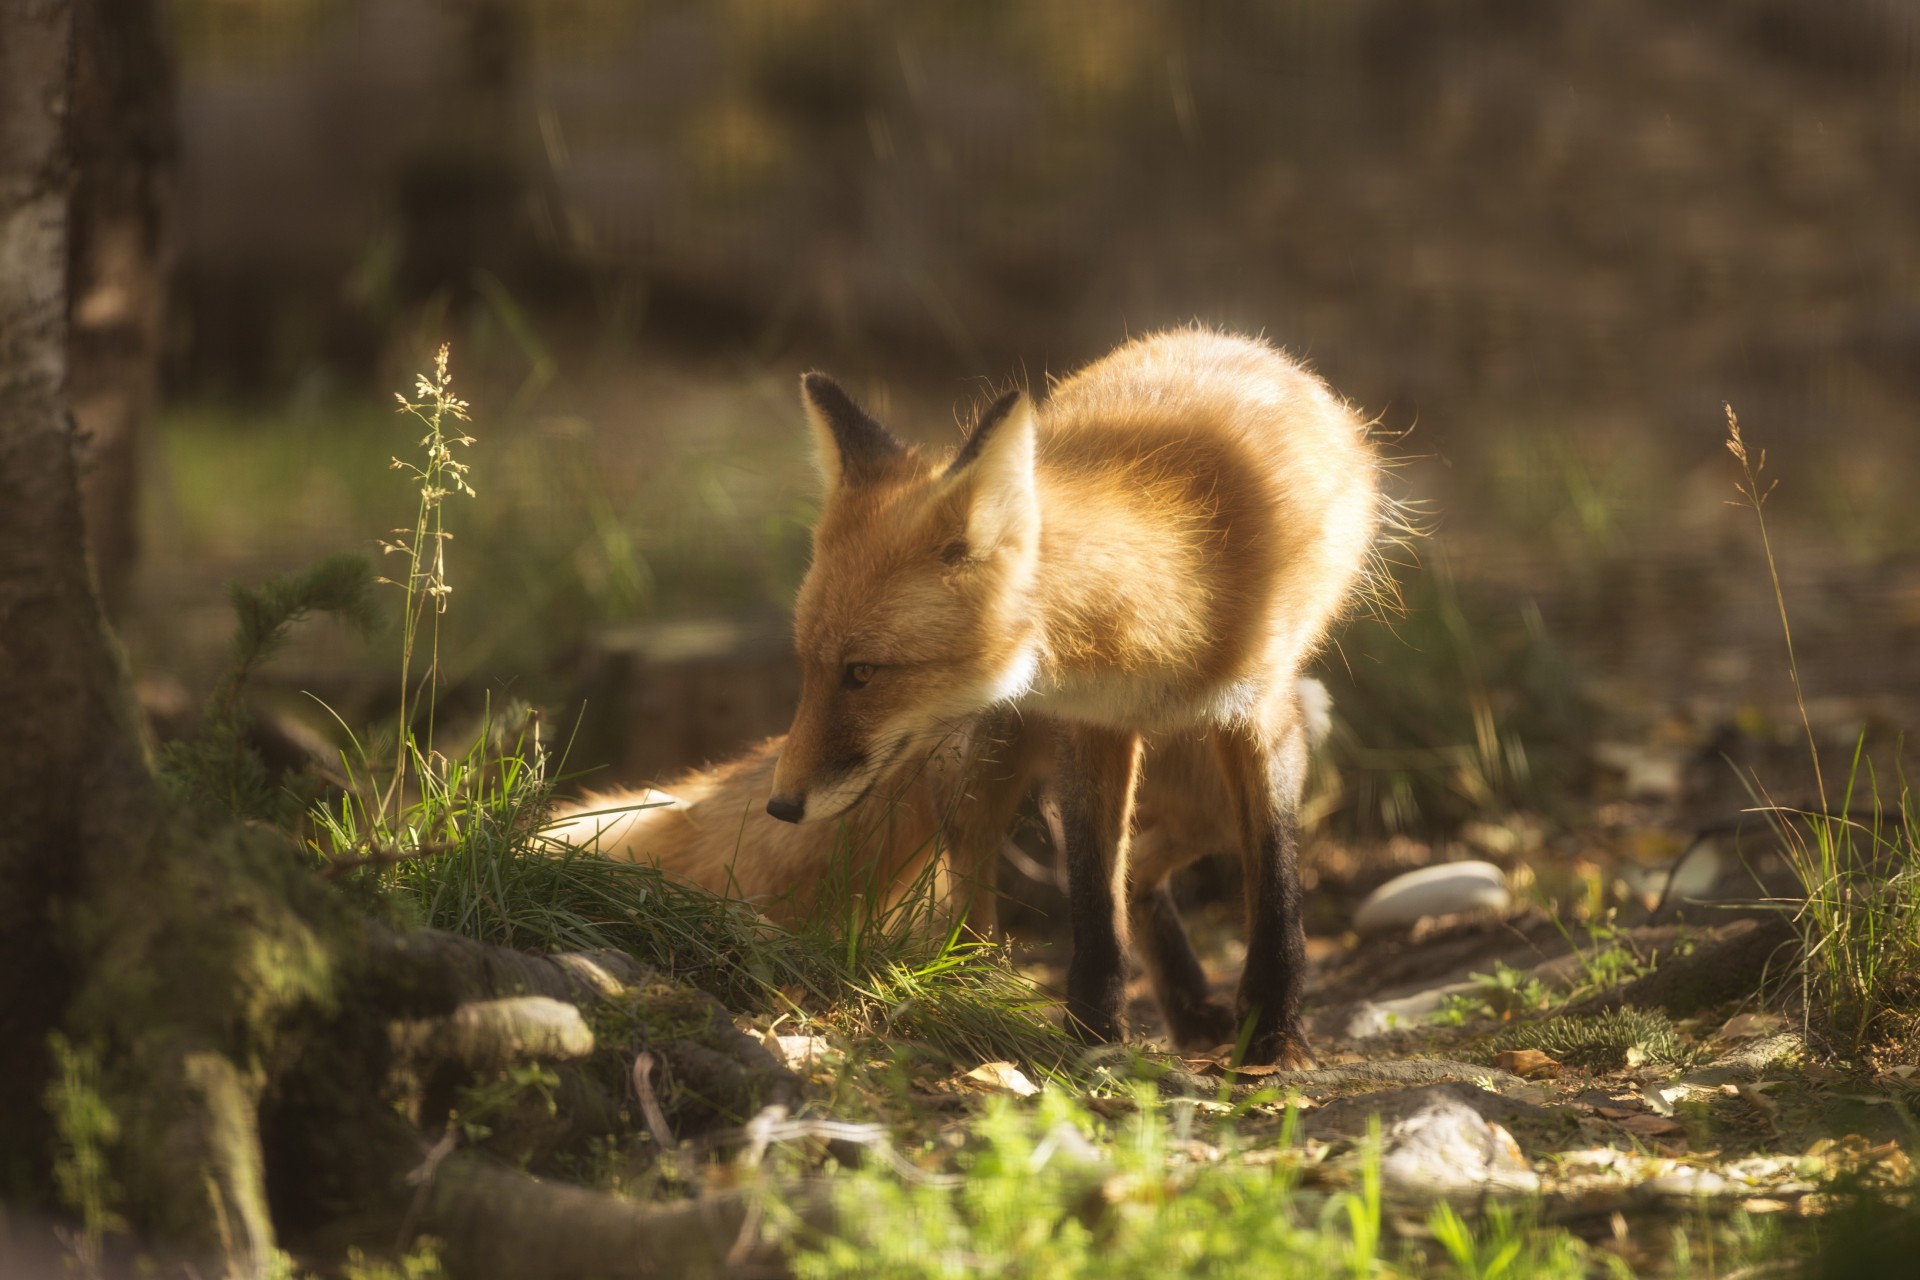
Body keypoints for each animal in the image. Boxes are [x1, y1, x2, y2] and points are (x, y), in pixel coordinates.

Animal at [766, 328, 1380, 1064]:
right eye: (808, 667)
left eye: (861, 673)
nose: (781, 805)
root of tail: (1231, 337)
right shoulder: (1092, 726)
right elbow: (1091, 898)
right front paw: (1092, 1032)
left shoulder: (1262, 715)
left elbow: (1276, 884)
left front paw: (1274, 1035)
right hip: (997, 751)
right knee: (983, 870)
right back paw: (971, 988)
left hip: (1238, 765)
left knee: (1146, 870)